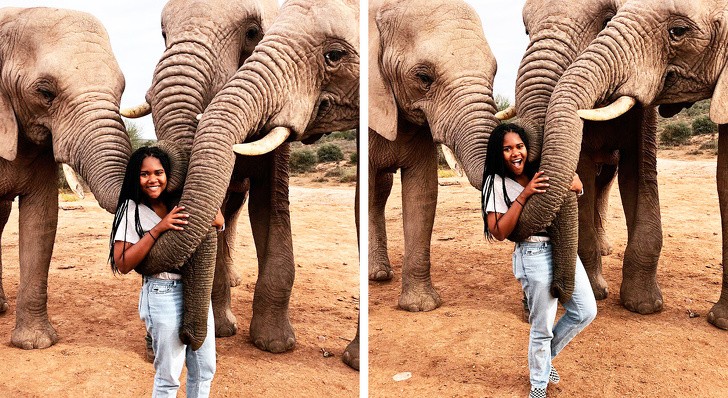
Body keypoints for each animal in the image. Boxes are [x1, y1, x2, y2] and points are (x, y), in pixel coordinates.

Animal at [506, 0, 664, 312]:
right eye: (526, 30)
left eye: (608, 19)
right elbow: (585, 173)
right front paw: (596, 293)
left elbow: (639, 173)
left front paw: (645, 306)